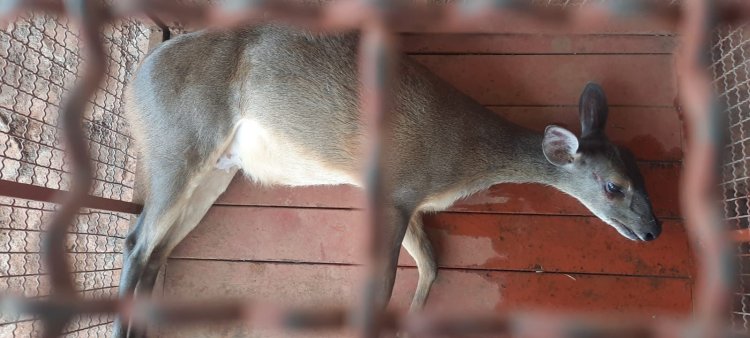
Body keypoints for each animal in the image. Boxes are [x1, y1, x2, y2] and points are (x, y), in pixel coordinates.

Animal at [114, 24, 660, 338]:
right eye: (614, 186)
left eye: (641, 170)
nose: (654, 229)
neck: (461, 155)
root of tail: (133, 87)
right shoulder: (396, 188)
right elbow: (382, 287)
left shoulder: (411, 199)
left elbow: (432, 264)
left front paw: (414, 323)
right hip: (180, 144)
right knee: (137, 240)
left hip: (217, 172)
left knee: (158, 251)